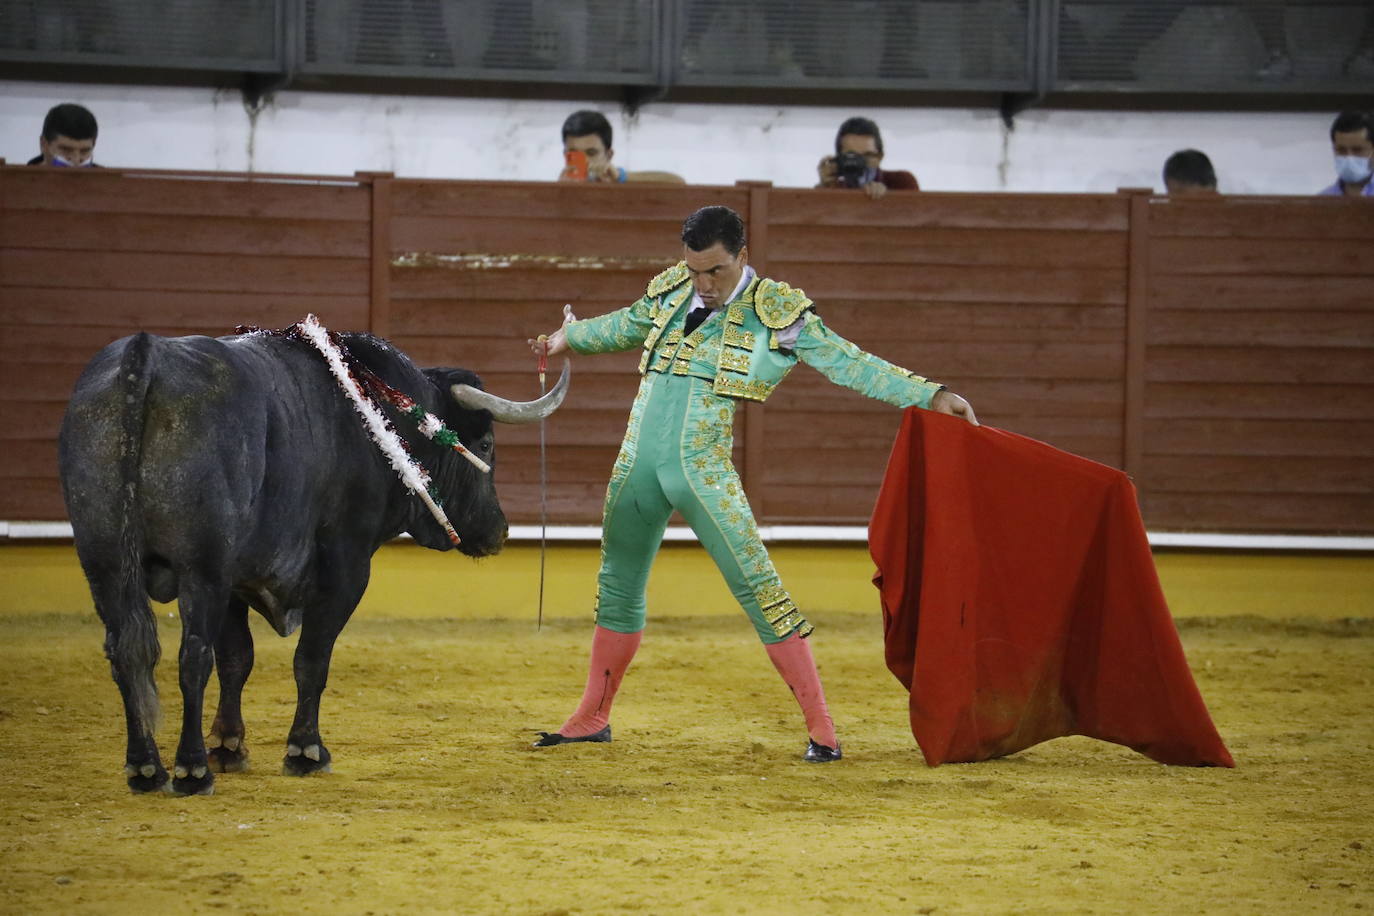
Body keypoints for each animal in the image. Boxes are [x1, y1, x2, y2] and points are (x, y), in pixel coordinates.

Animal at [59, 330, 568, 796]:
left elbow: (237, 658)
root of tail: (144, 352)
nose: (499, 531)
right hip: (200, 569)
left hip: (104, 561)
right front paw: (304, 751)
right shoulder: (345, 569)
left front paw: (229, 746)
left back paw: (145, 767)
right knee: (192, 657)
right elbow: (312, 659)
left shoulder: (234, 579)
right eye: (485, 445)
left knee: (128, 651)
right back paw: (191, 769)